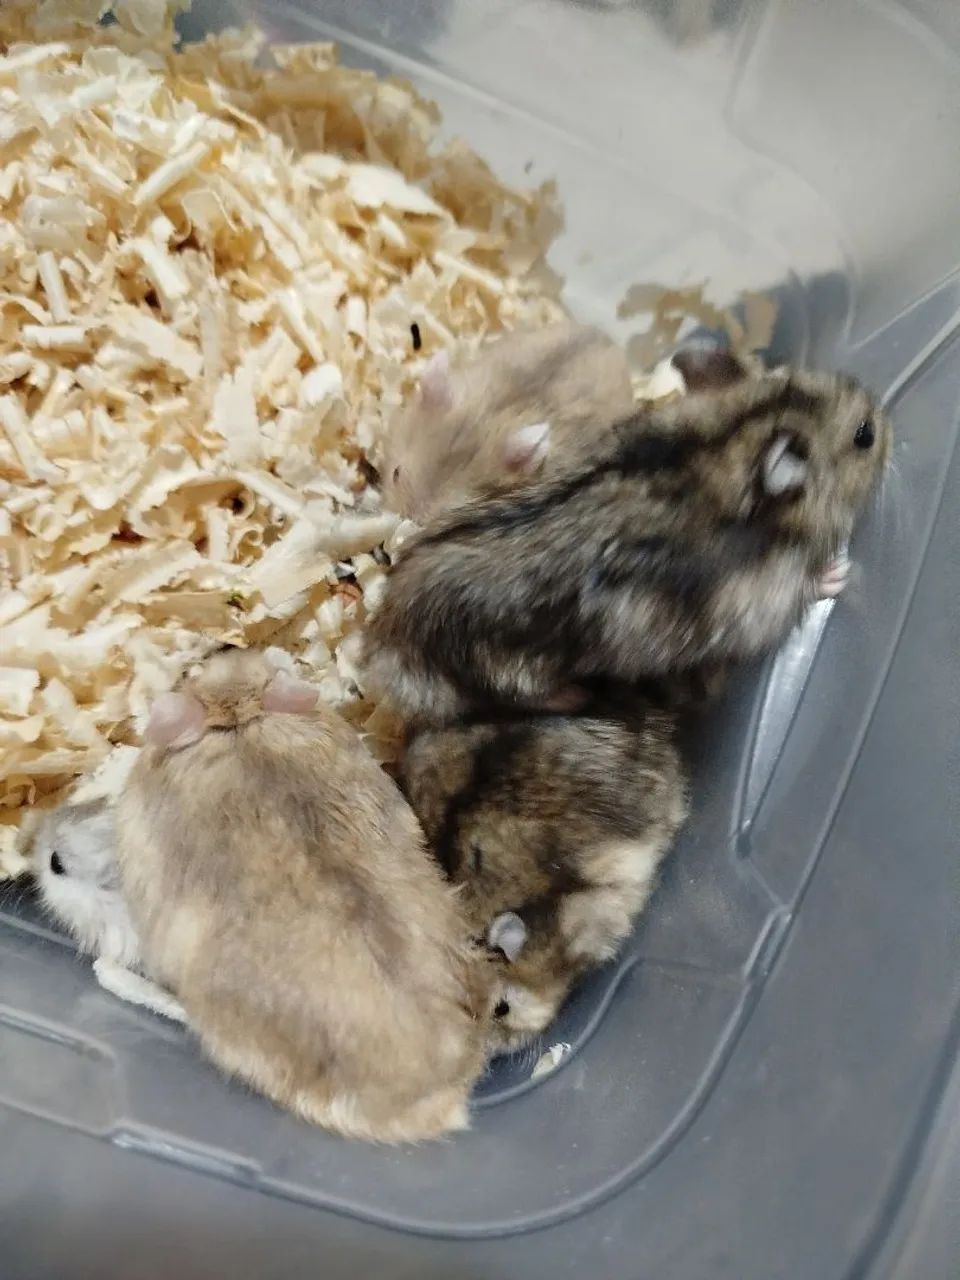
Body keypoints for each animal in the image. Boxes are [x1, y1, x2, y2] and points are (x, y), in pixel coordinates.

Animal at [364, 364, 891, 721]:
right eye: (864, 436)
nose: (882, 409)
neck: (728, 446)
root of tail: (384, 637)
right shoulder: (758, 606)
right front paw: (837, 574)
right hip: (507, 668)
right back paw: (576, 695)